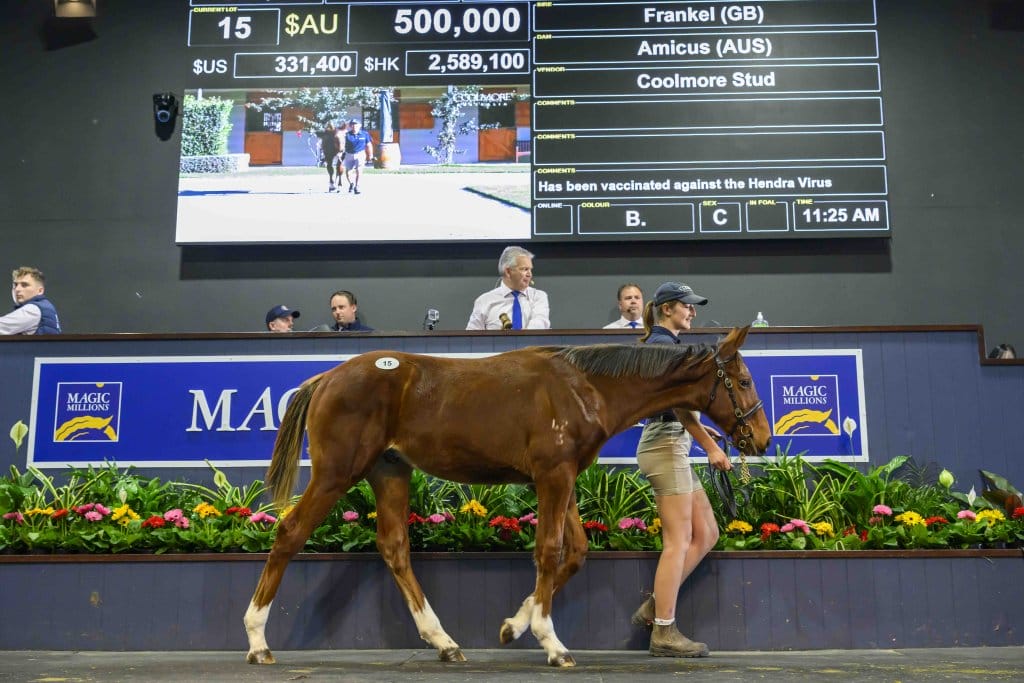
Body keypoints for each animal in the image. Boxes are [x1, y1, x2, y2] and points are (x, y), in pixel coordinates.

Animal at [243, 327, 765, 663]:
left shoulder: (561, 479)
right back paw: (257, 642)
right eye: (742, 381)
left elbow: (575, 553)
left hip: (389, 472)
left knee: (394, 548)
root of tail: (326, 378)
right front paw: (551, 643)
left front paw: (514, 627)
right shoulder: (553, 477)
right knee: (289, 532)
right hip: (336, 473)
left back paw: (445, 643)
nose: (760, 438)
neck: (583, 388)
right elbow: (549, 551)